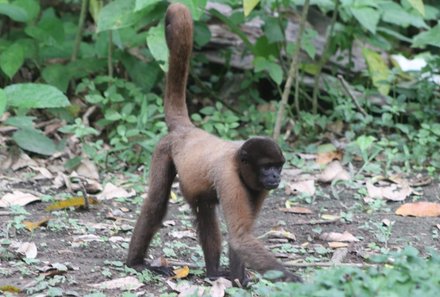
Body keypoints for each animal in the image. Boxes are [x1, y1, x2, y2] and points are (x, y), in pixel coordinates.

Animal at [125, 2, 300, 284]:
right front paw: (298, 282)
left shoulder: (258, 189)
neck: (238, 163)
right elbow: (239, 234)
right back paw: (137, 263)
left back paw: (214, 272)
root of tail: (188, 130)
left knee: (203, 210)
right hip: (164, 149)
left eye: (278, 167)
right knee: (157, 203)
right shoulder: (229, 177)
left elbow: (241, 235)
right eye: (266, 167)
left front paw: (240, 279)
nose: (275, 177)